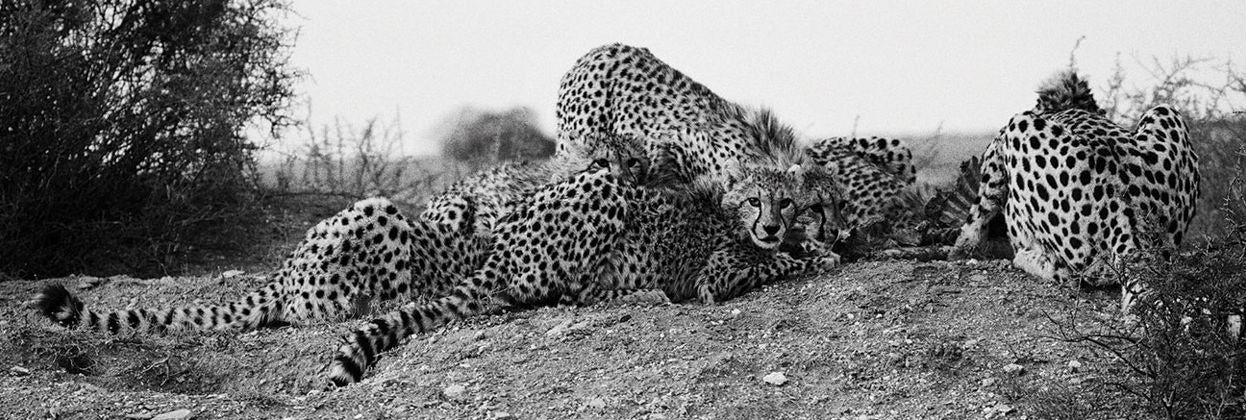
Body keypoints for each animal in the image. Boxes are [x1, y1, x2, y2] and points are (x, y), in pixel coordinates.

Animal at [325, 156, 839, 386]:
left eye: (785, 201)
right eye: (755, 200)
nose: (771, 225)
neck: (730, 215)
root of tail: (500, 244)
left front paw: (816, 245)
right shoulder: (716, 276)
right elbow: (778, 262)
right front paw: (821, 255)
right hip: (606, 184)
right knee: (574, 295)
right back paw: (643, 294)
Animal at [951, 69, 1200, 311]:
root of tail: (1132, 222)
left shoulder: (994, 164)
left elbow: (976, 216)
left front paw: (959, 250)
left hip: (1020, 124)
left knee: (1066, 273)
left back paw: (1024, 258)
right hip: (1166, 111)